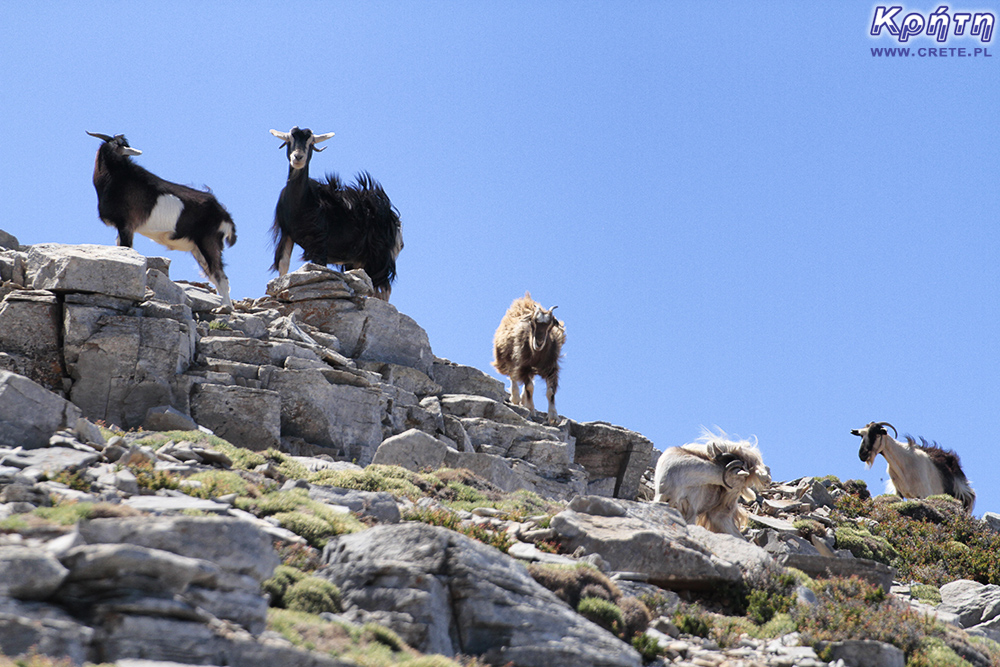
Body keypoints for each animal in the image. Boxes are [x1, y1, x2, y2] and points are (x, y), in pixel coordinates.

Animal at [86, 132, 238, 310]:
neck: (118, 176)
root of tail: (223, 214)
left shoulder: (126, 225)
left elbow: (126, 247)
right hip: (197, 248)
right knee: (214, 274)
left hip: (208, 242)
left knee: (220, 275)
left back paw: (225, 308)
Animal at [272, 124, 404, 300]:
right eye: (289, 140)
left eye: (311, 143)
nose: (298, 157)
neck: (301, 202)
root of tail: (394, 220)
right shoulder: (286, 233)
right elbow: (283, 265)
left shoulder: (319, 242)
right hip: (358, 259)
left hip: (380, 256)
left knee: (384, 288)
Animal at [490, 294, 568, 428]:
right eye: (532, 321)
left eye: (551, 324)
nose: (539, 342)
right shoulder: (523, 365)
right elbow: (529, 387)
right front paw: (530, 409)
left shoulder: (551, 367)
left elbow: (551, 391)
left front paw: (553, 417)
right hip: (509, 358)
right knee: (513, 376)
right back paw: (516, 398)